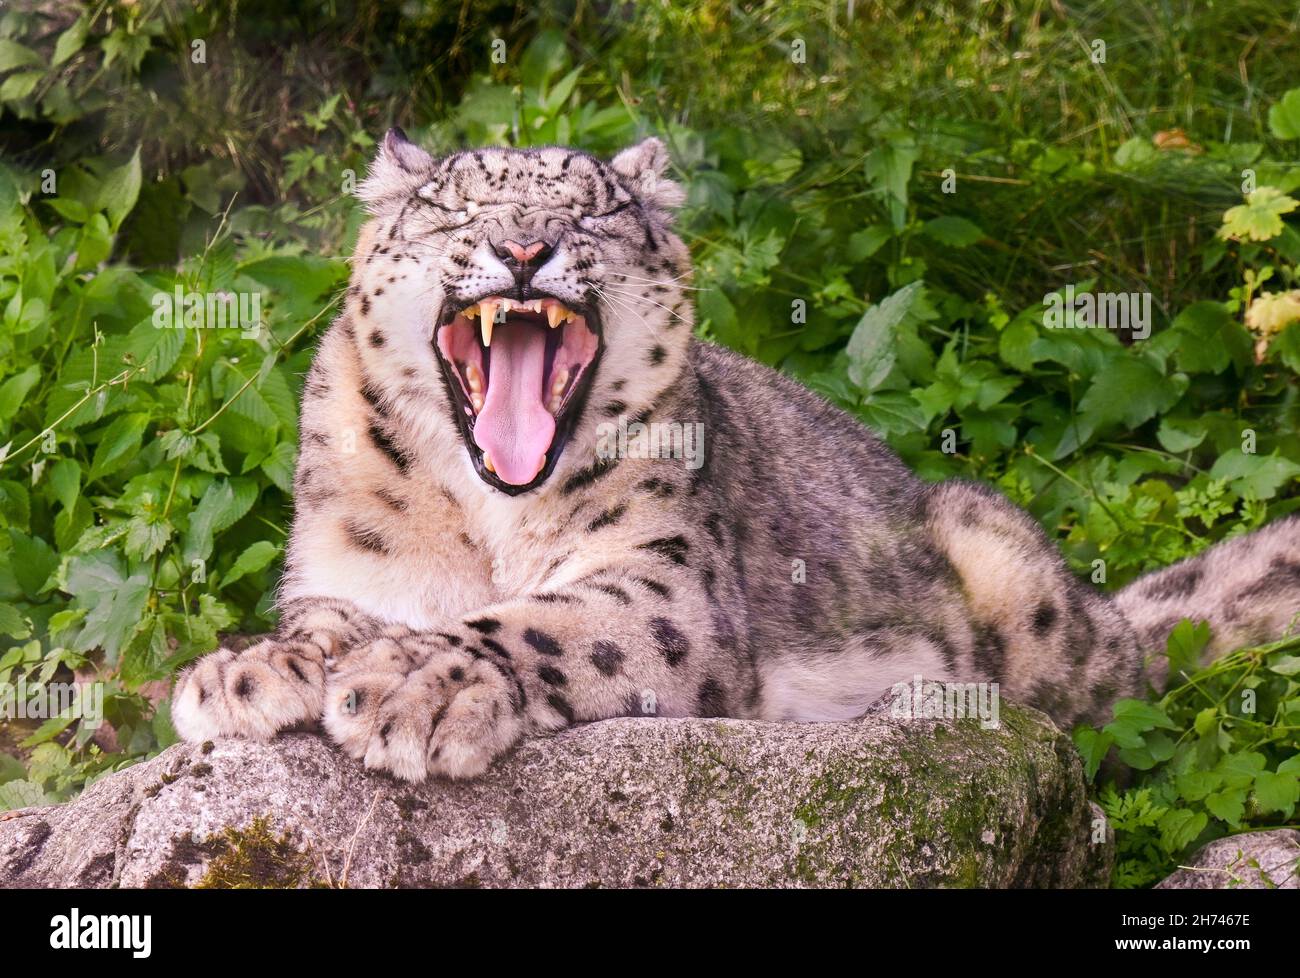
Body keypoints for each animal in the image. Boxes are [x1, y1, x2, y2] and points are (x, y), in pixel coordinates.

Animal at [171, 129, 1300, 781]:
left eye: (592, 210)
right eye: (455, 207)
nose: (525, 247)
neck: (490, 515)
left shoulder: (665, 578)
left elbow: (546, 622)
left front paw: (417, 682)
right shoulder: (348, 570)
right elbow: (323, 623)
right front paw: (247, 673)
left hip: (1022, 592)